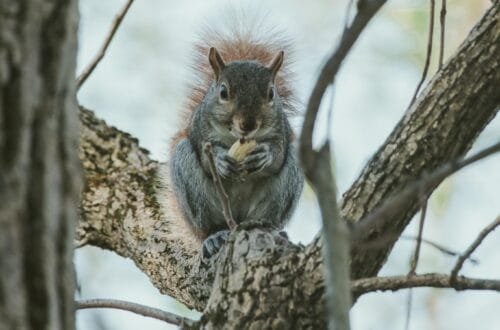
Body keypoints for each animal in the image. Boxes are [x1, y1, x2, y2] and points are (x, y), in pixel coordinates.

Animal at [165, 28, 304, 258]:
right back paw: (213, 237)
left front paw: (264, 154)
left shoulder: (282, 133)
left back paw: (270, 229)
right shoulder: (200, 131)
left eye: (271, 93)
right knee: (208, 225)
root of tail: (236, 223)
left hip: (282, 192)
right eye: (223, 92)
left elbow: (278, 154)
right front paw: (220, 160)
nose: (248, 124)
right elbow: (206, 158)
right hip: (192, 188)